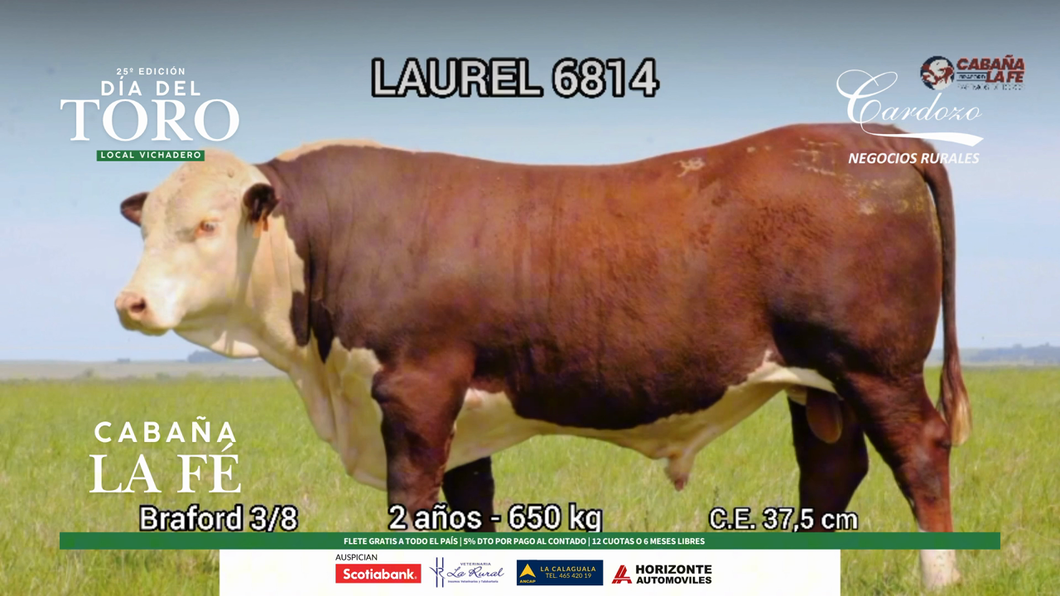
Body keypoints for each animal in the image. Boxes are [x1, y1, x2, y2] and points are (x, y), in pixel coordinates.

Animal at [115, 123, 971, 590]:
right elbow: (471, 506)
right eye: (146, 224)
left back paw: (941, 575)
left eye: (206, 225)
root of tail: (874, 138)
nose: (132, 304)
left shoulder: (415, 389)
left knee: (920, 455)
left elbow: (410, 504)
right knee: (831, 470)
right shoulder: (461, 409)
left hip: (874, 366)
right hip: (817, 383)